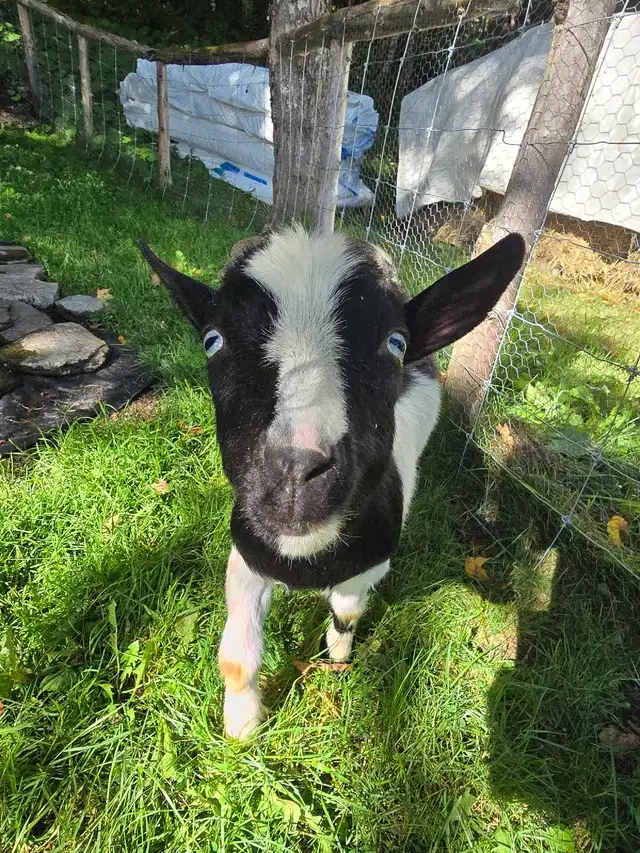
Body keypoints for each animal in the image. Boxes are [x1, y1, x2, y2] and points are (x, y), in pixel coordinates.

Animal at [138, 225, 525, 738]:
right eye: (212, 341)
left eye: (396, 344)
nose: (296, 470)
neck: (307, 557)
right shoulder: (246, 554)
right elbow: (236, 658)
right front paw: (242, 727)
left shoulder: (374, 562)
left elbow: (346, 609)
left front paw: (338, 656)